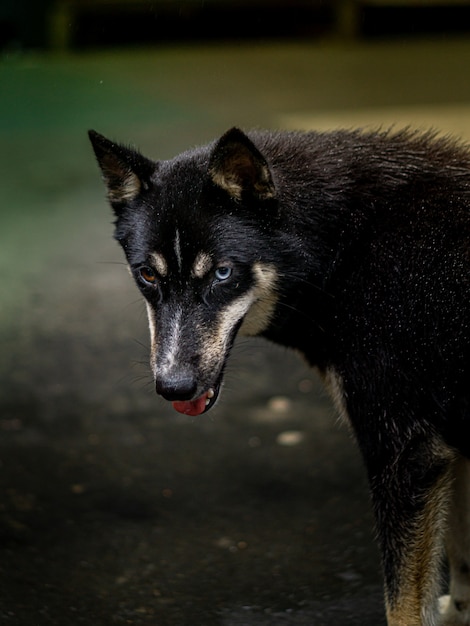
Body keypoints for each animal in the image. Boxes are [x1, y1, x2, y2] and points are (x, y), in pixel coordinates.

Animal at [89, 127, 470, 624]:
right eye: (148, 276)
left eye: (223, 272)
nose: (173, 387)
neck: (345, 246)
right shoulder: (445, 448)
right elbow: (462, 567)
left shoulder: (404, 453)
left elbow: (403, 607)